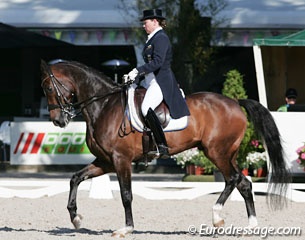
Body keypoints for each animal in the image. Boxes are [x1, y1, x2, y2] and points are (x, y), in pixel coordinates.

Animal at [40, 59, 290, 236]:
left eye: (49, 88)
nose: (58, 121)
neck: (104, 105)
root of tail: (235, 102)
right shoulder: (106, 161)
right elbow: (75, 178)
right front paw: (75, 218)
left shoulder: (121, 160)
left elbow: (126, 195)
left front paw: (126, 228)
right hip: (228, 154)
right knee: (244, 183)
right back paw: (251, 226)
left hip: (217, 152)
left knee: (232, 179)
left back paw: (217, 217)